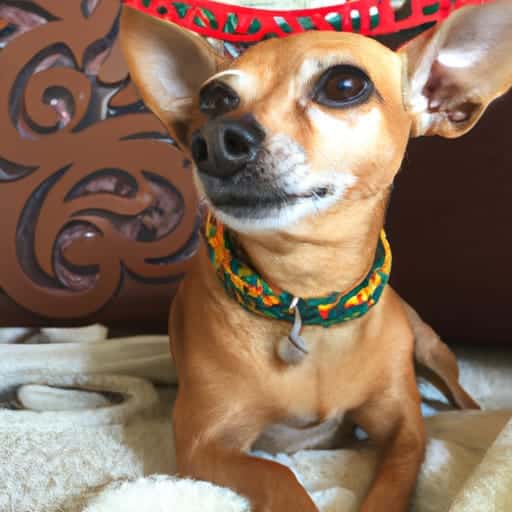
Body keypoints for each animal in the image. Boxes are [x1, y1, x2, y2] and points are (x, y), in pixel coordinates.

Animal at [121, 2, 512, 510]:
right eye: (213, 99)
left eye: (344, 85)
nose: (214, 140)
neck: (307, 300)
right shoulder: (202, 444)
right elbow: (279, 476)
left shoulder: (405, 433)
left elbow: (390, 486)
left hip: (429, 346)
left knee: (459, 392)